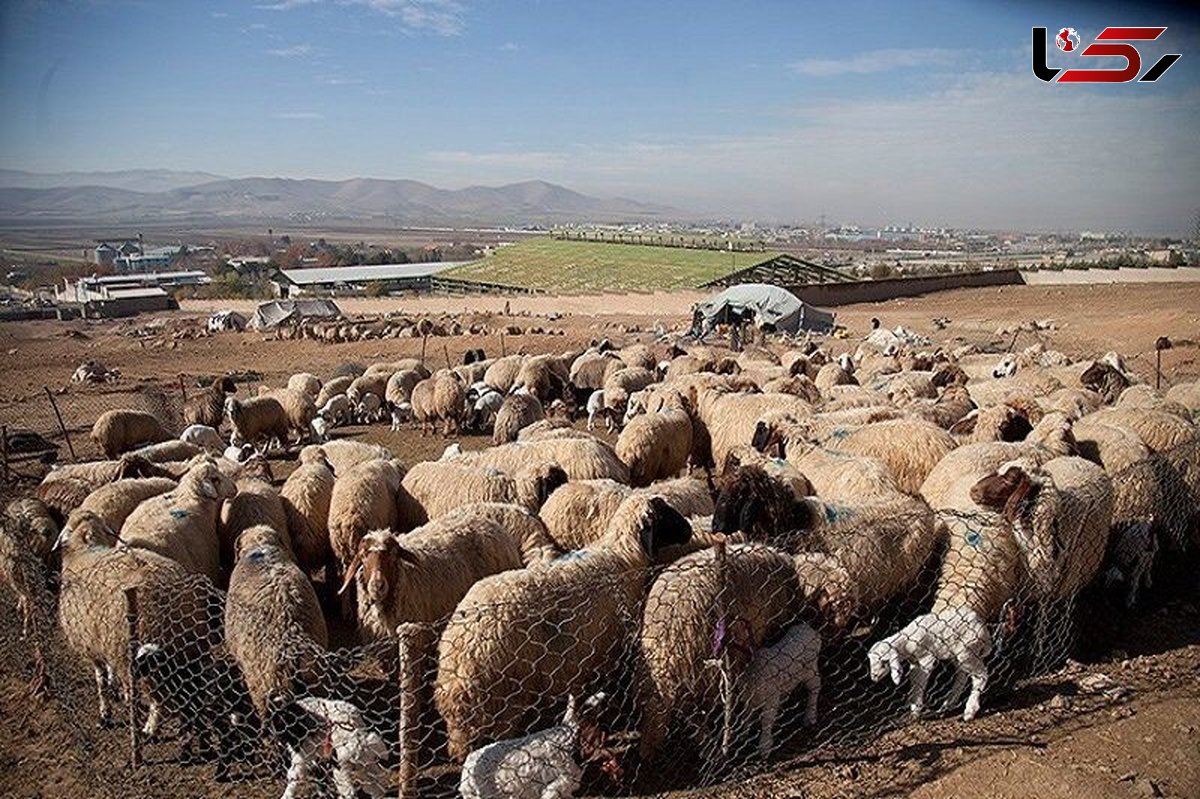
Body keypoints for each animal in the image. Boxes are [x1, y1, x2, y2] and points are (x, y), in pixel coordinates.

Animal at [58, 511, 224, 719]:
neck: (84, 549)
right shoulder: (102, 639)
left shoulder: (89, 644)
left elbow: (100, 679)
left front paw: (106, 710)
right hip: (192, 644)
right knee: (200, 679)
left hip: (139, 653)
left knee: (157, 701)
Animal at [439, 491, 696, 758]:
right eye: (665, 514)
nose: (689, 530)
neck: (624, 557)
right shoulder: (605, 650)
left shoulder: (584, 655)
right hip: (506, 697)